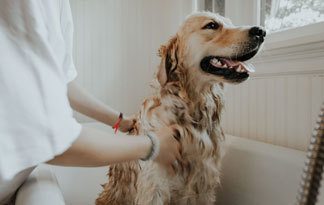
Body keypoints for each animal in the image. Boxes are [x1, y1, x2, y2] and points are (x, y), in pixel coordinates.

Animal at [95, 12, 264, 204]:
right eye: (212, 25)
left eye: (231, 23)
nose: (261, 31)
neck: (192, 111)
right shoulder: (154, 188)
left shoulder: (204, 185)